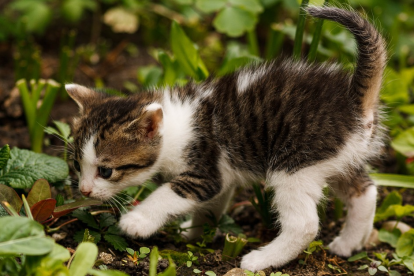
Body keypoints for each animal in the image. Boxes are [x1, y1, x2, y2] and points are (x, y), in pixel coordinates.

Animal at [66, 6, 386, 272]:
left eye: (106, 170)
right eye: (76, 165)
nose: (84, 191)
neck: (177, 125)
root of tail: (354, 102)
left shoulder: (204, 170)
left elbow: (167, 194)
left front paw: (137, 222)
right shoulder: (222, 177)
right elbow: (211, 205)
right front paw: (195, 231)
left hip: (295, 163)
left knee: (304, 224)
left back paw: (261, 260)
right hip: (337, 159)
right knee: (366, 192)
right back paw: (348, 243)